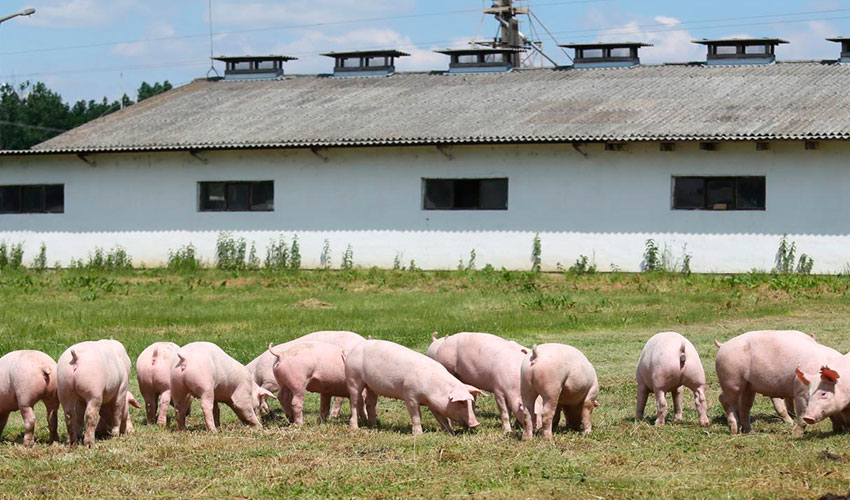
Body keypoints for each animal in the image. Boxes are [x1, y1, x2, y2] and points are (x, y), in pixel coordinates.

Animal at [342, 340, 480, 434]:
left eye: (470, 402)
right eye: (461, 403)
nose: (476, 423)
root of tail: (352, 350)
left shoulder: (433, 403)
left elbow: (442, 418)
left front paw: (450, 432)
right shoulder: (410, 395)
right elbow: (416, 415)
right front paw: (418, 434)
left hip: (371, 386)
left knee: (370, 403)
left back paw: (374, 427)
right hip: (353, 377)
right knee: (355, 402)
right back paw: (355, 428)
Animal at [712, 328, 840, 434]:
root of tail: (723, 345)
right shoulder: (801, 390)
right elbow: (802, 413)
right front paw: (794, 431)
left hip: (748, 385)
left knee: (745, 405)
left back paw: (748, 431)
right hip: (731, 379)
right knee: (724, 399)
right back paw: (734, 431)